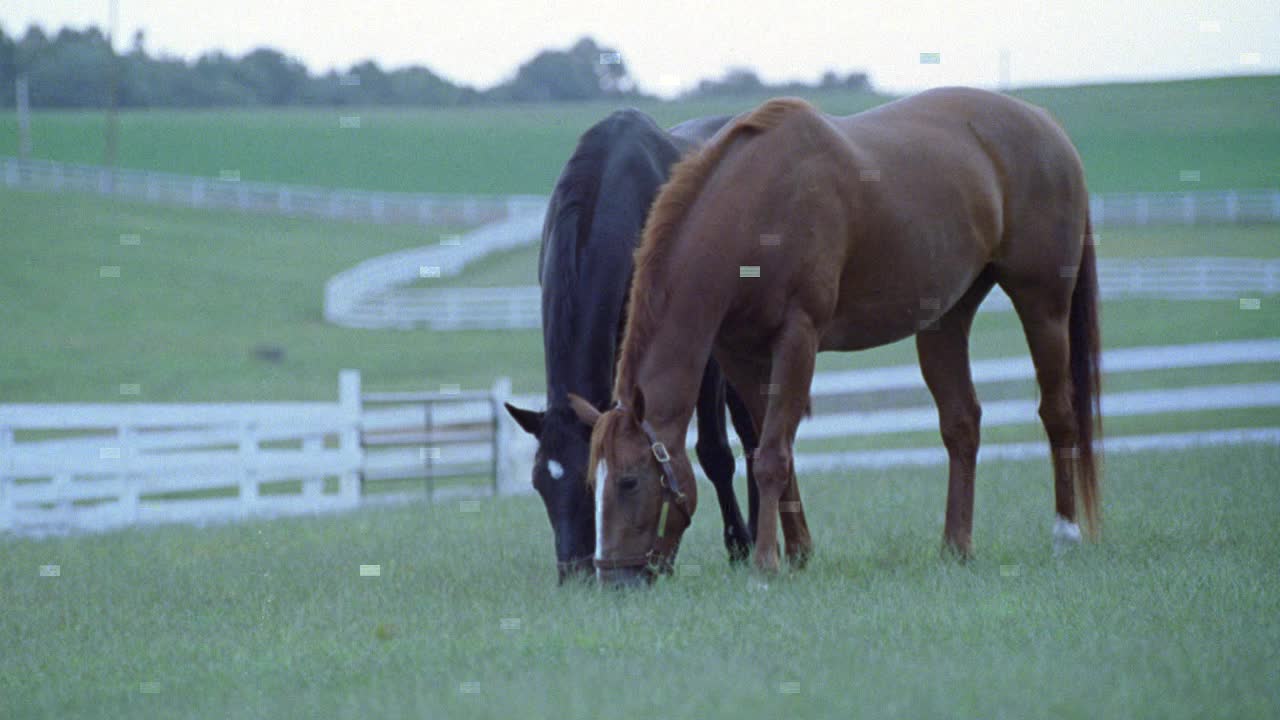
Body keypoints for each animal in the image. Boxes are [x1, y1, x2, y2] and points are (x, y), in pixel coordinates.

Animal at [570, 85, 1100, 576]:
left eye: (629, 481)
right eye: (592, 484)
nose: (611, 577)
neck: (755, 210)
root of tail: (1044, 123)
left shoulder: (798, 338)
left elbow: (771, 455)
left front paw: (766, 564)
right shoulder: (741, 354)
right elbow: (770, 446)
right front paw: (799, 553)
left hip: (1043, 305)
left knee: (1058, 413)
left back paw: (1066, 534)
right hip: (946, 318)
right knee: (961, 424)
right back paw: (955, 547)